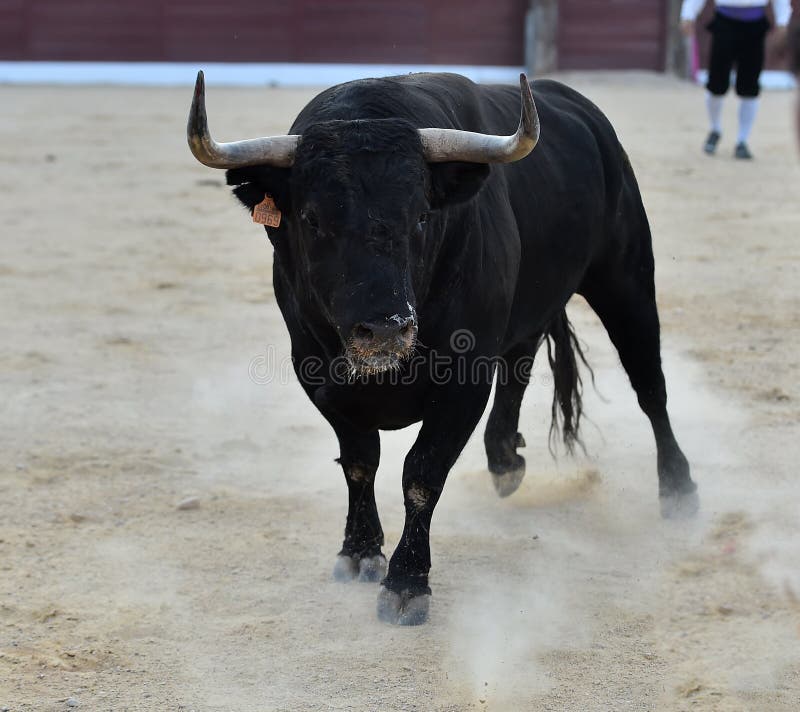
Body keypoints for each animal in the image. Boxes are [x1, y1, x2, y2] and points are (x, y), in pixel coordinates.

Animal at [187, 70, 699, 625]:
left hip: (626, 278)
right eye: (312, 219)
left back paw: (678, 490)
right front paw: (359, 550)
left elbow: (422, 473)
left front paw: (407, 583)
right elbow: (360, 461)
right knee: (521, 363)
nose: (386, 329)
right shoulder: (317, 375)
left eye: (421, 217)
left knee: (650, 385)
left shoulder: (462, 383)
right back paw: (505, 461)